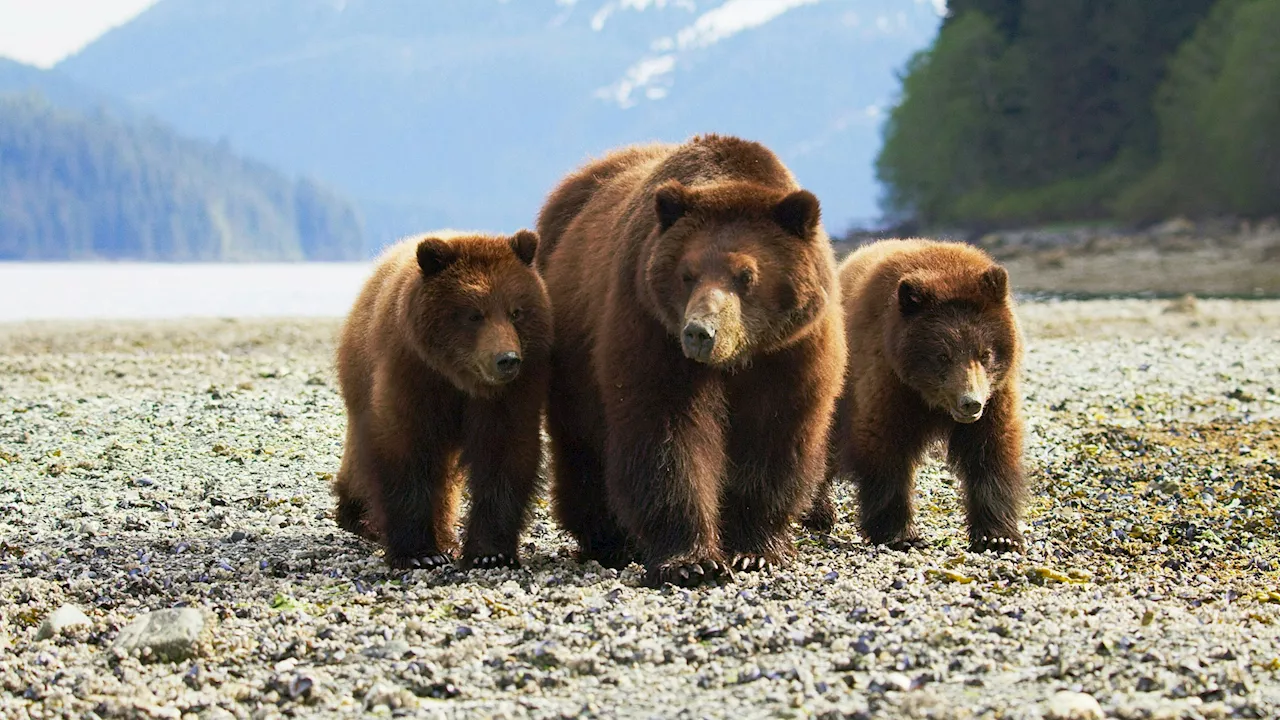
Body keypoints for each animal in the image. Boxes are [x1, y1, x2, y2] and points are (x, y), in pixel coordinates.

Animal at [330, 229, 550, 566]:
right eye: (475, 314)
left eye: (516, 311)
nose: (507, 359)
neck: (460, 379)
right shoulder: (413, 375)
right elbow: (405, 450)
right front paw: (419, 553)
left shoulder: (509, 396)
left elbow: (504, 455)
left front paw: (491, 553)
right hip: (359, 376)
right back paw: (358, 515)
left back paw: (445, 536)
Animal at [532, 133, 844, 584]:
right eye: (687, 273)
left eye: (745, 275)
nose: (699, 332)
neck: (738, 357)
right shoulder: (651, 326)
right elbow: (667, 434)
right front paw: (692, 561)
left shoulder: (790, 351)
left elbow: (774, 436)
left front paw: (757, 551)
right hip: (573, 348)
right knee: (582, 444)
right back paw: (609, 541)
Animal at [808, 238, 1029, 550]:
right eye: (943, 355)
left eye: (985, 353)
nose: (970, 403)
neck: (932, 400)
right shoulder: (891, 381)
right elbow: (885, 447)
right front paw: (901, 534)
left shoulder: (995, 395)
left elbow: (991, 450)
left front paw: (998, 536)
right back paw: (818, 512)